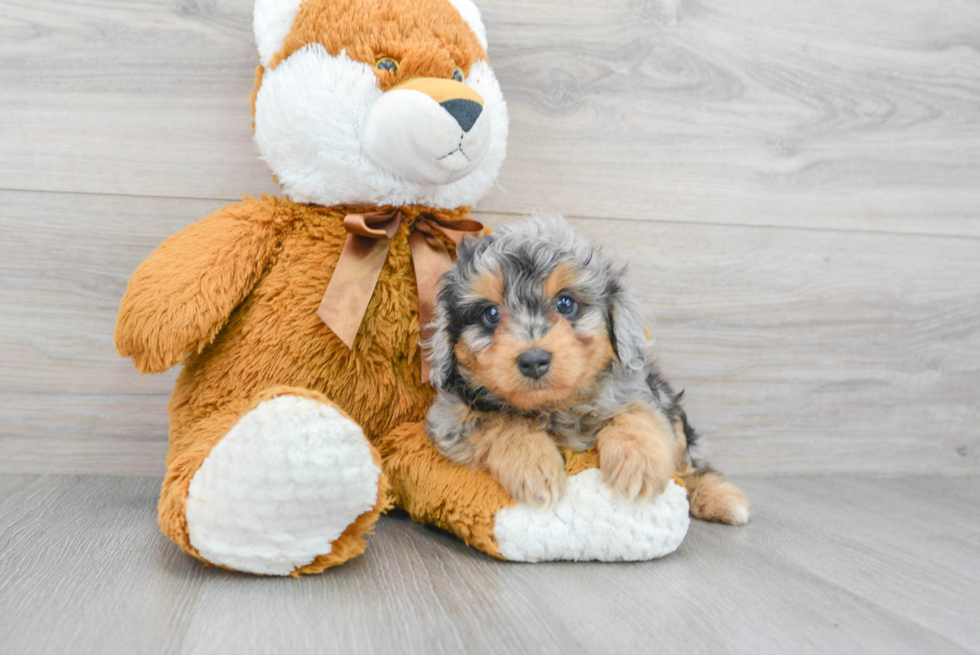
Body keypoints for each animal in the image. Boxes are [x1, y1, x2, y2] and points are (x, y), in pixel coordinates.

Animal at [424, 218, 756, 524]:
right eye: (490, 314)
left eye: (565, 303)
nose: (533, 360)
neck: (554, 407)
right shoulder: (449, 419)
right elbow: (499, 421)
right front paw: (535, 466)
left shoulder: (639, 389)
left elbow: (636, 412)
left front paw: (638, 463)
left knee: (690, 463)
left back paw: (722, 498)